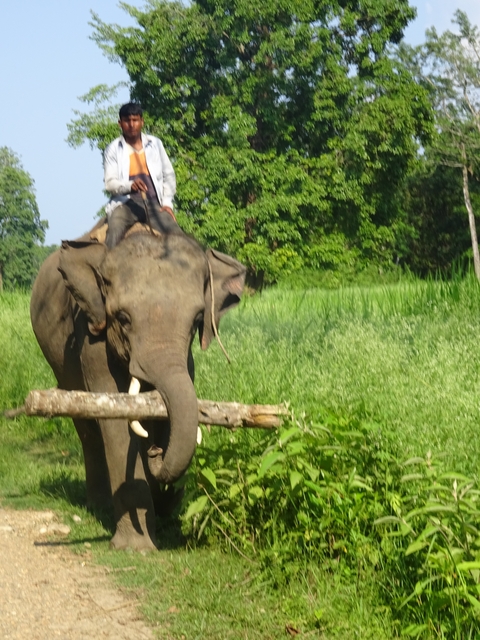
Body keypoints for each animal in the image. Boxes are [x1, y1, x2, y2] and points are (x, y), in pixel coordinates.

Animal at [30, 217, 246, 550]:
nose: (157, 453)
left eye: (198, 320)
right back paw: (100, 505)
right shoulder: (92, 336)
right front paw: (137, 547)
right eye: (122, 318)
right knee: (87, 427)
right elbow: (117, 417)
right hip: (59, 362)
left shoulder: (186, 361)